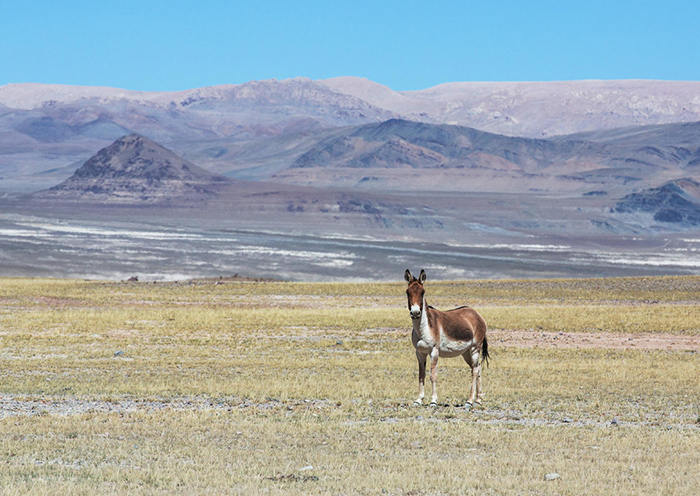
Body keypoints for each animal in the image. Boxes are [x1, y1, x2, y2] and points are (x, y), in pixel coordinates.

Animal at [404, 269, 489, 409]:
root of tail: (476, 314)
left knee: (475, 371)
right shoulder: (419, 353)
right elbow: (421, 375)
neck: (424, 328)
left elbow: (433, 375)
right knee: (478, 368)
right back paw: (478, 400)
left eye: (423, 292)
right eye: (407, 292)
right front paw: (418, 400)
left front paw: (433, 401)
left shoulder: (434, 351)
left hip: (475, 348)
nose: (415, 313)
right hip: (466, 352)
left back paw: (469, 401)